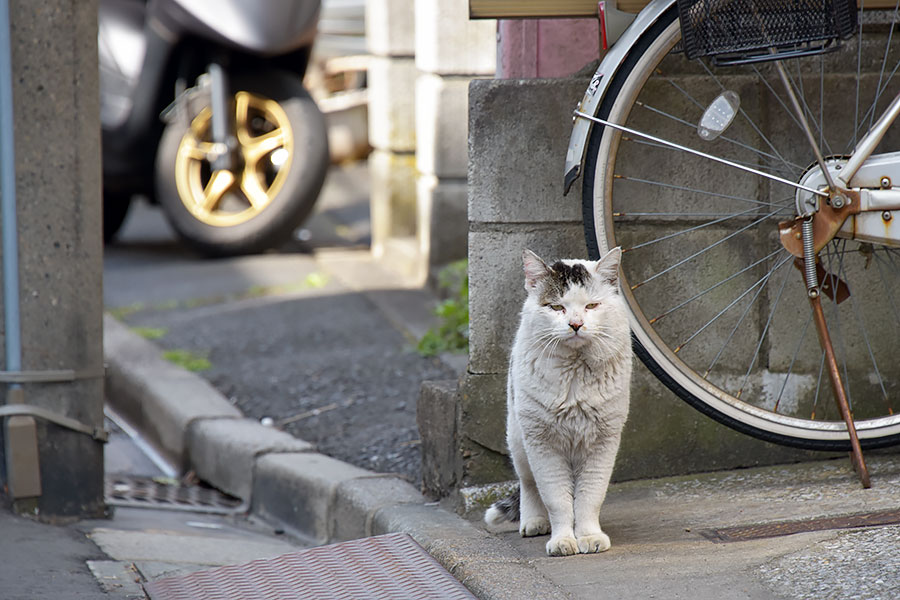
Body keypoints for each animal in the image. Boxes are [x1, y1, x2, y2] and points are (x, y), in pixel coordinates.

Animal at [486, 246, 632, 556]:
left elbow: (589, 497)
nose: (576, 324)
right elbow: (557, 500)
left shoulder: (603, 443)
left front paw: (589, 536)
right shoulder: (543, 445)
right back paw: (534, 522)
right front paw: (563, 541)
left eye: (591, 306)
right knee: (528, 485)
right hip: (518, 441)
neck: (574, 375)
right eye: (556, 308)